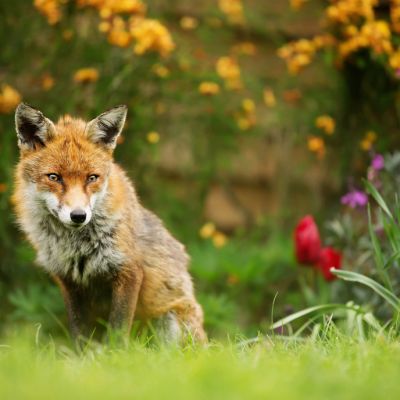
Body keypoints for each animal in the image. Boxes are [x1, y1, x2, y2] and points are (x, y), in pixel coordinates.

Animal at [12, 103, 206, 344]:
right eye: (54, 177)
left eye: (92, 178)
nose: (78, 215)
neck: (76, 246)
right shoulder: (68, 280)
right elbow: (79, 334)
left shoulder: (129, 270)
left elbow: (118, 330)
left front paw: (117, 352)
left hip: (169, 322)